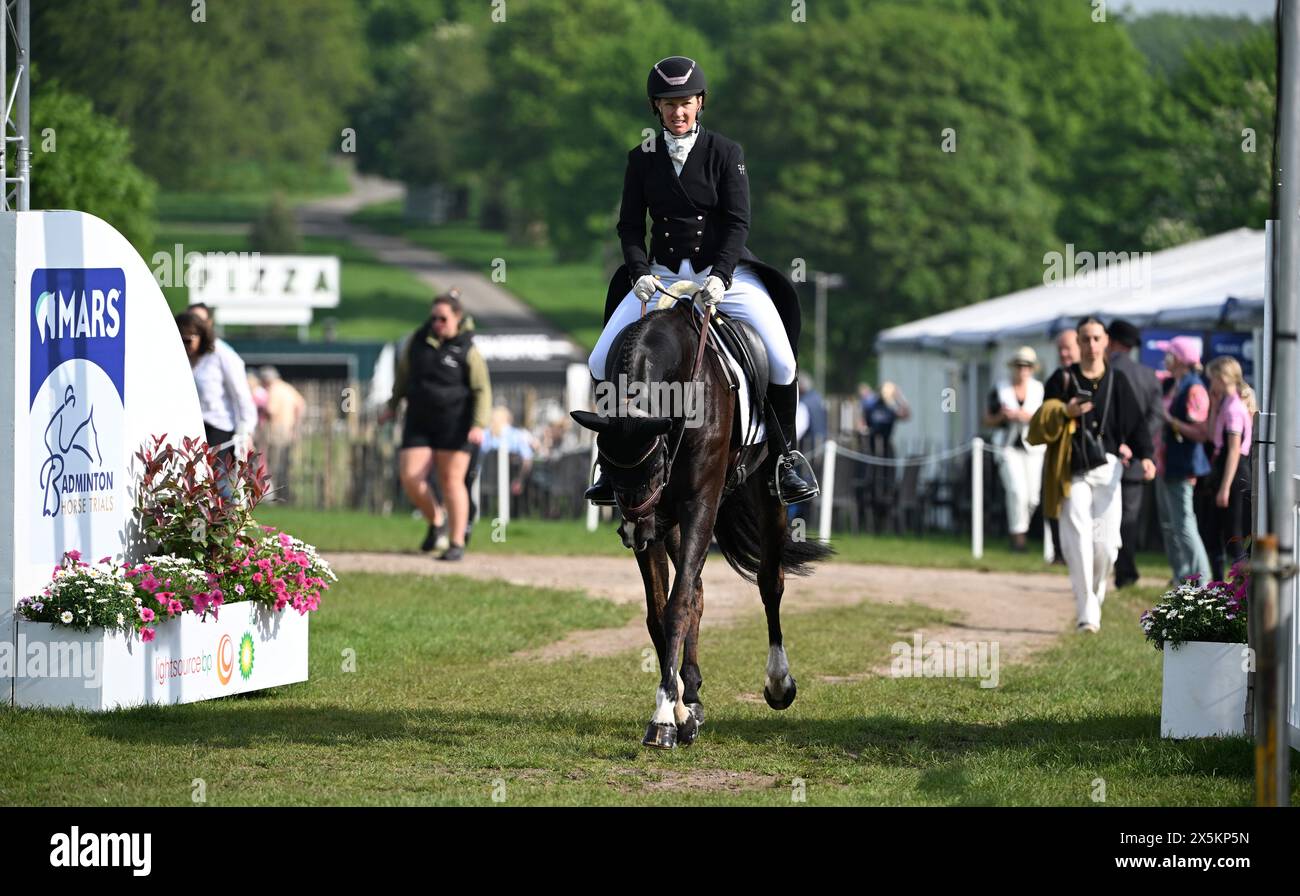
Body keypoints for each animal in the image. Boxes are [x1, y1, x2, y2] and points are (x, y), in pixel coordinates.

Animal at [569, 288, 832, 749]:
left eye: (655, 462)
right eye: (606, 465)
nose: (634, 533)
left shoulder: (698, 506)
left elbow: (677, 606)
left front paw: (663, 718)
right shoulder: (657, 519)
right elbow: (662, 611)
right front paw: (676, 710)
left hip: (765, 493)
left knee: (769, 582)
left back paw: (778, 683)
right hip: (670, 525)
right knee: (698, 592)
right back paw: (690, 698)